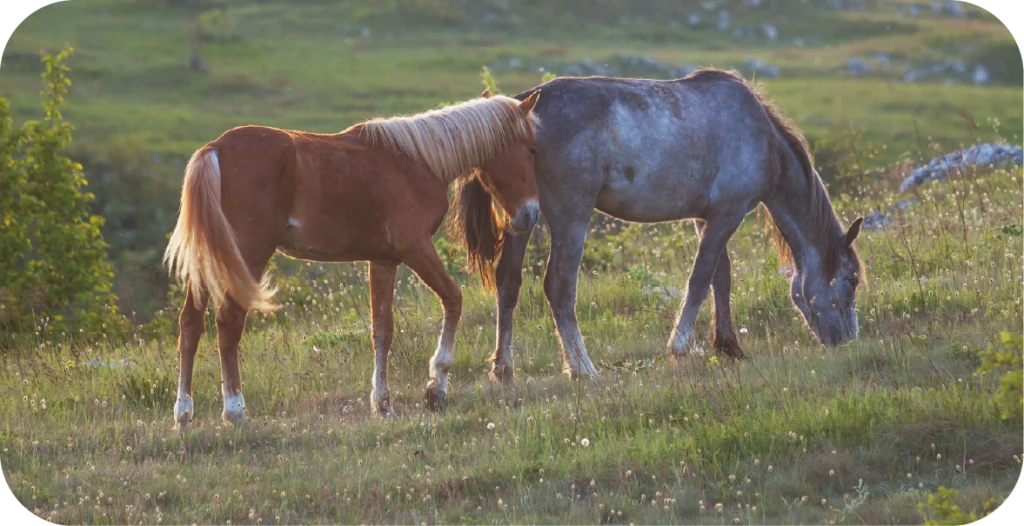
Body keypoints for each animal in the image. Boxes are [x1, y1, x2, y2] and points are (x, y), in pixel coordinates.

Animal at [163, 91, 543, 427]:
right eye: (531, 148)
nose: (530, 215)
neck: (418, 161)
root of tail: (214, 150)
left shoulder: (384, 261)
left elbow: (382, 330)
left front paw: (383, 404)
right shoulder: (416, 248)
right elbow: (453, 299)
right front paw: (436, 387)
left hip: (211, 262)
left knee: (191, 323)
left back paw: (183, 413)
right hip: (248, 256)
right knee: (228, 322)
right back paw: (235, 411)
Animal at [452, 68, 865, 382]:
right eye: (851, 280)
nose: (847, 341)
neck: (760, 136)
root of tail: (525, 104)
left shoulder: (705, 217)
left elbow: (721, 277)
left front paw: (728, 346)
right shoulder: (727, 214)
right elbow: (700, 278)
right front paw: (679, 347)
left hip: (522, 219)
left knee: (508, 281)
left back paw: (504, 368)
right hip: (571, 216)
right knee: (559, 287)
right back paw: (583, 369)